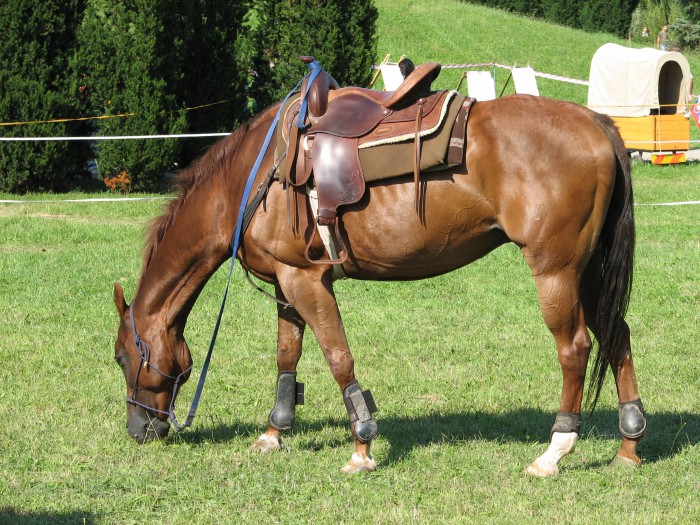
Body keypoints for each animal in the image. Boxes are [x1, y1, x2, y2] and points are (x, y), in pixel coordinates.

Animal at [113, 93, 644, 474]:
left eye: (121, 357)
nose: (138, 430)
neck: (250, 179)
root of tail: (597, 122)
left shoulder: (307, 281)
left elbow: (338, 359)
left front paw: (361, 446)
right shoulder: (285, 283)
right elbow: (287, 357)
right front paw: (273, 433)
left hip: (556, 271)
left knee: (575, 349)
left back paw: (554, 452)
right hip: (589, 271)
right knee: (617, 334)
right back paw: (629, 445)